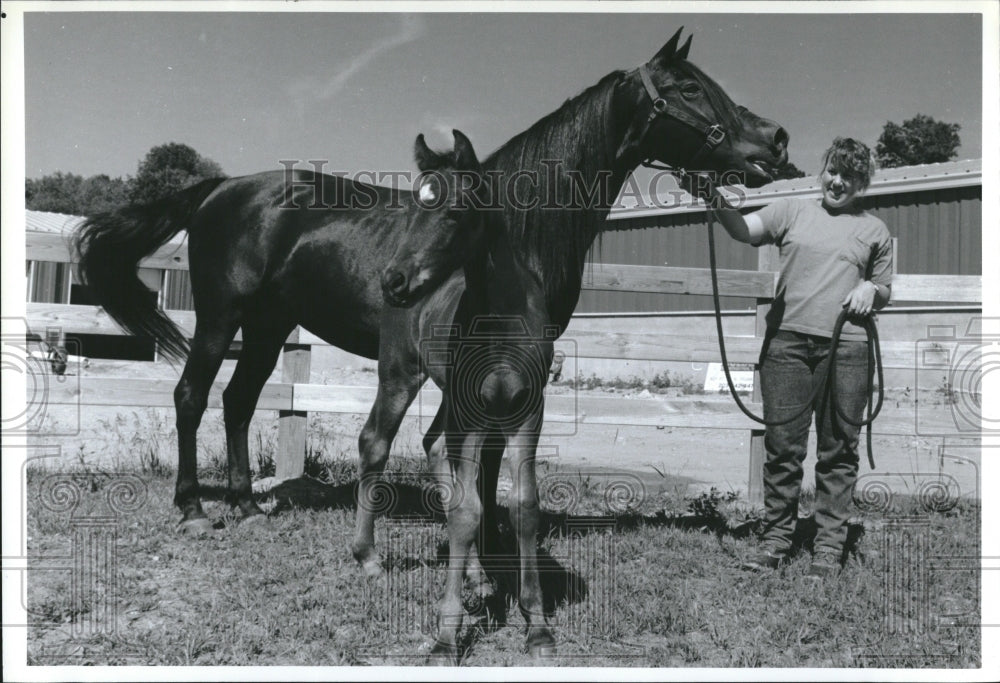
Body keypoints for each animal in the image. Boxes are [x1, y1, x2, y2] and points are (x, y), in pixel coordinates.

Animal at [76, 132, 486, 536]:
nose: (396, 282)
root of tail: (222, 187)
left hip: (267, 328)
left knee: (238, 401)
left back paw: (246, 505)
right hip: (220, 318)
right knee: (190, 396)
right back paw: (193, 510)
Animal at [368, 28, 788, 664]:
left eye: (458, 209)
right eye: (690, 88)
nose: (776, 139)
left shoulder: (522, 403)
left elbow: (519, 503)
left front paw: (533, 621)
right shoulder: (480, 404)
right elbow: (471, 503)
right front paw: (448, 633)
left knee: (437, 446)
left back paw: (474, 576)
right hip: (403, 376)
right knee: (391, 444)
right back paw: (386, 560)